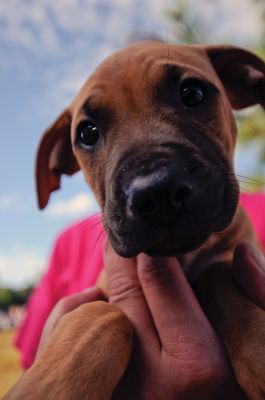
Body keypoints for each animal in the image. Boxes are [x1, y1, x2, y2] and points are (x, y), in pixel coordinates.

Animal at [36, 42, 264, 398]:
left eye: (193, 93)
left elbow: (219, 275)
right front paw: (45, 385)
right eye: (88, 133)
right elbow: (103, 314)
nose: (157, 190)